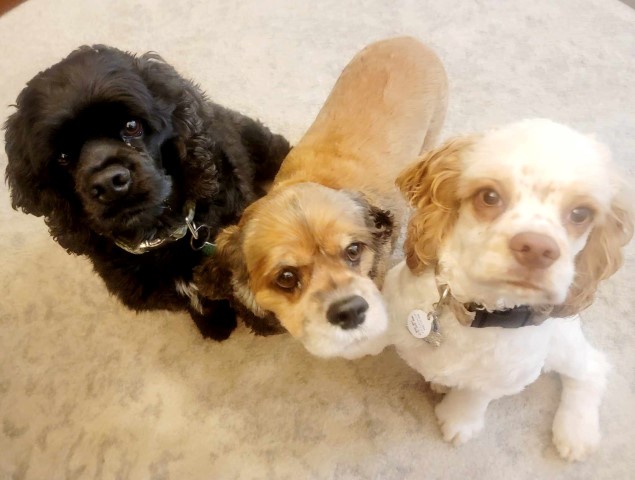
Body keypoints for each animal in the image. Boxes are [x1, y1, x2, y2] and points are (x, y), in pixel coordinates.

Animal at [4, 45, 290, 340]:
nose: (109, 182)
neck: (160, 236)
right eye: (62, 156)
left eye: (132, 126)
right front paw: (214, 324)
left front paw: (262, 325)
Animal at [377, 119, 633, 460]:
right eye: (489, 196)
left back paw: (576, 432)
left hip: (562, 346)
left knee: (593, 367)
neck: (472, 313)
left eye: (581, 214)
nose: (537, 248)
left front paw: (459, 419)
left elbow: (476, 394)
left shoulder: (506, 375)